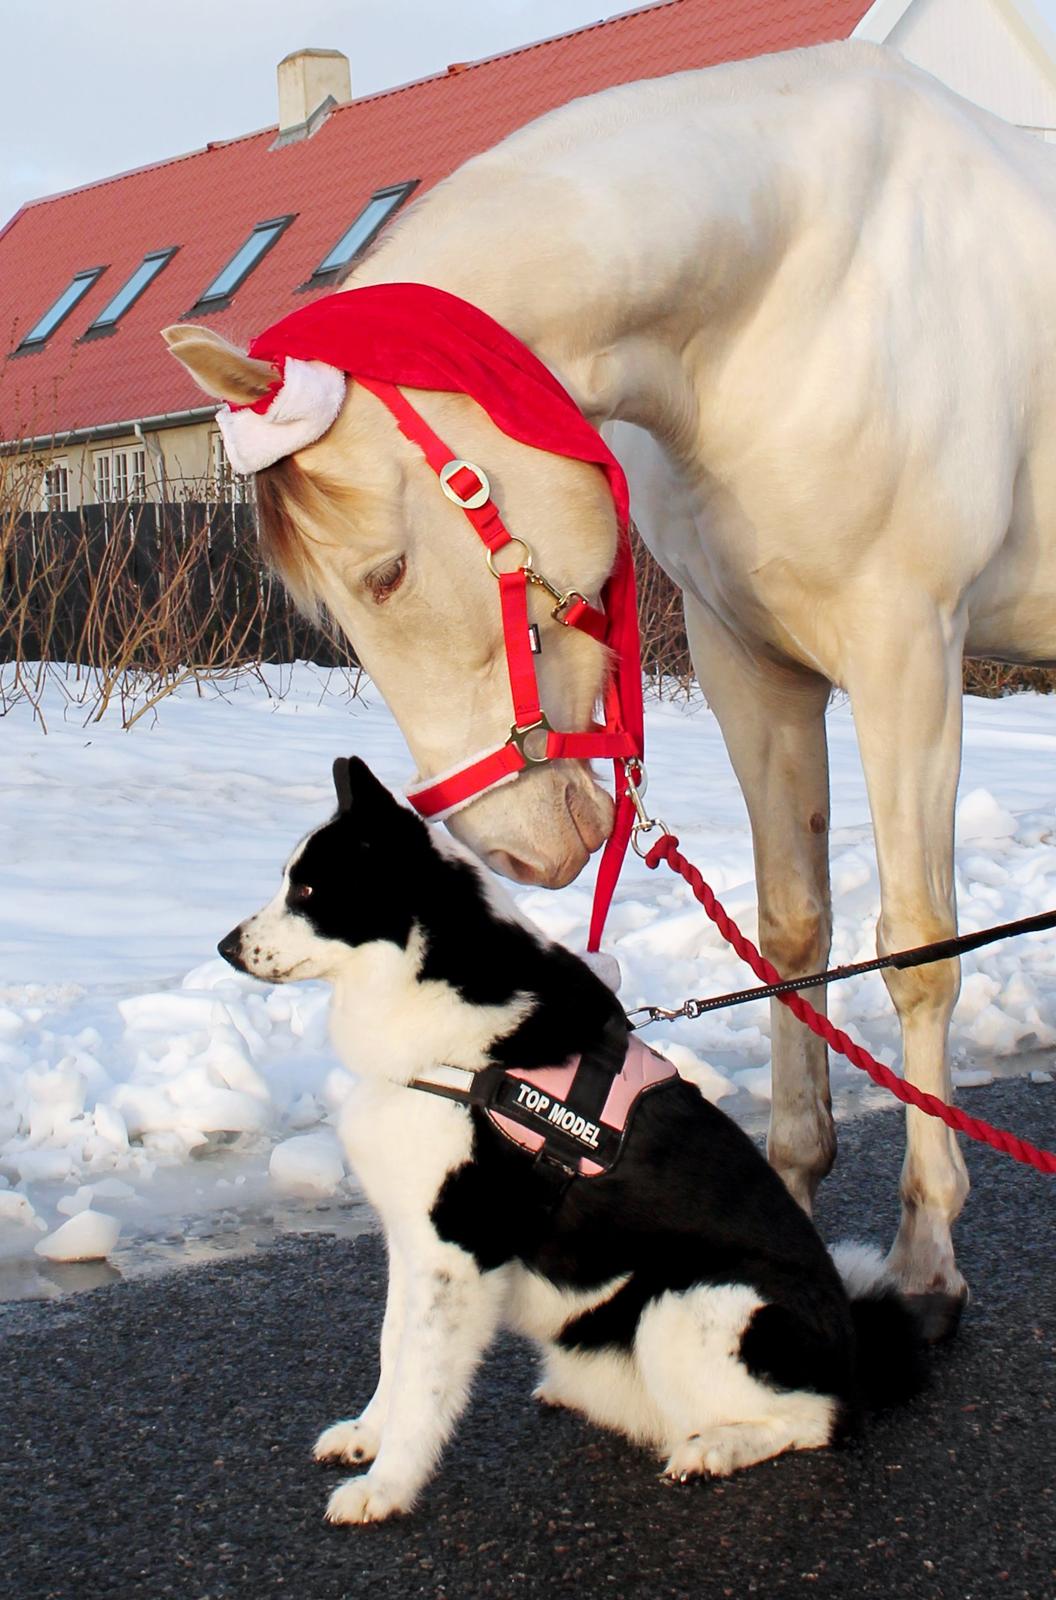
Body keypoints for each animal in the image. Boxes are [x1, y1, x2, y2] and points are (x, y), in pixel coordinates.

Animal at [164, 40, 1056, 1337]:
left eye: (385, 574)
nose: (513, 846)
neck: (803, 291)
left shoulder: (909, 656)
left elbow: (918, 950)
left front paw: (927, 1251)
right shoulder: (755, 666)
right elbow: (792, 933)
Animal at [219, 761, 921, 1523]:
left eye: (309, 891)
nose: (225, 947)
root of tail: (855, 1345)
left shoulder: (457, 1254)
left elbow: (423, 1386)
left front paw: (388, 1486)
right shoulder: (414, 1245)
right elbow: (393, 1351)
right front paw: (367, 1437)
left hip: (686, 1303)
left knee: (822, 1417)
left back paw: (713, 1448)